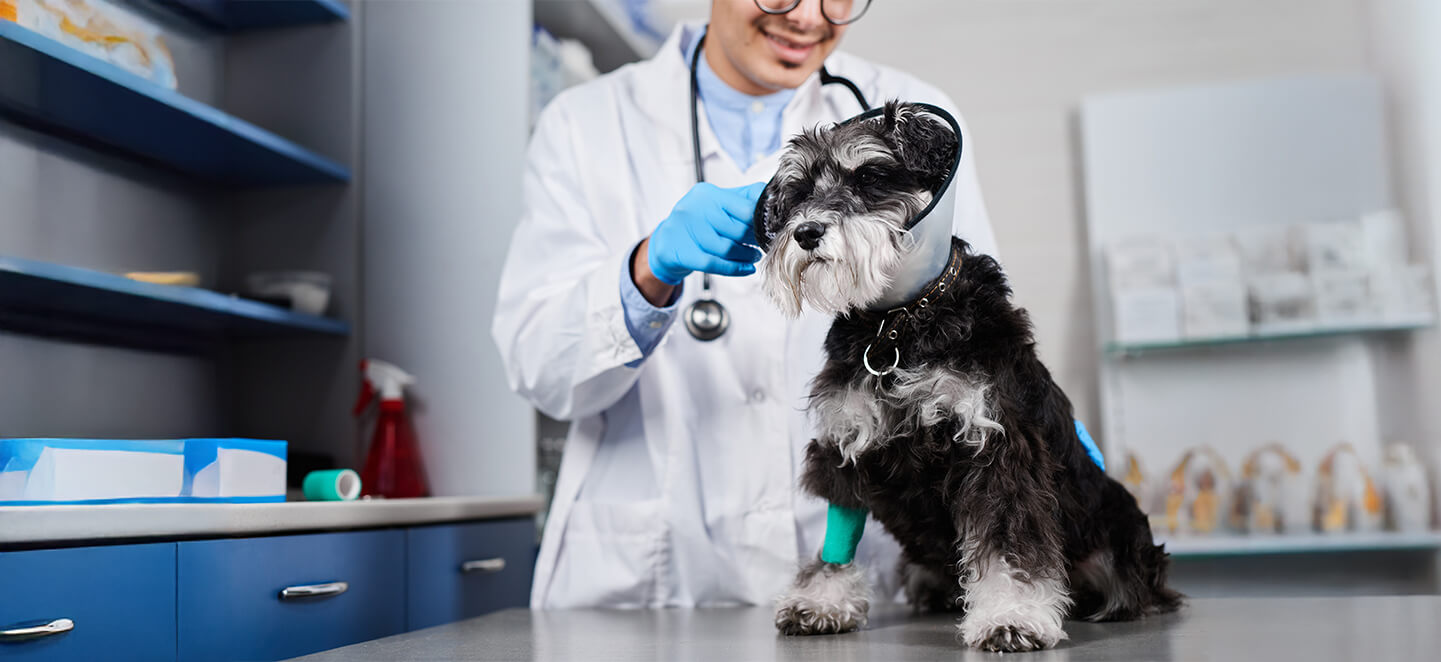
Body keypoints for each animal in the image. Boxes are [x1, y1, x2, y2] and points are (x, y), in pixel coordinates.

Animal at [755, 103, 1181, 651]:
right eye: (801, 191)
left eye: (870, 177)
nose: (806, 232)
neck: (900, 323)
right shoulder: (847, 446)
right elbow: (838, 538)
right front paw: (822, 600)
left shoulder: (994, 445)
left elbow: (1006, 542)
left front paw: (1012, 616)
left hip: (1120, 531)